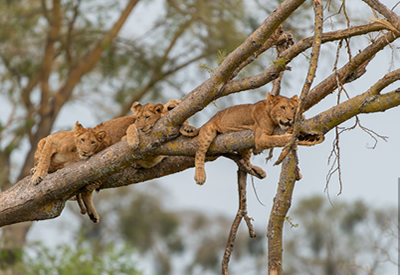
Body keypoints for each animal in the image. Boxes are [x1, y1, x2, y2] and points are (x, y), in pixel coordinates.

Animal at [181, 92, 324, 185]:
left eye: (293, 108)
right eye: (282, 107)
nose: (289, 118)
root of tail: (209, 120)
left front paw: (305, 126)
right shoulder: (260, 139)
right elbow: (276, 140)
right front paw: (289, 138)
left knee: (246, 161)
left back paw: (258, 170)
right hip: (209, 131)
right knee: (200, 152)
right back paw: (200, 175)